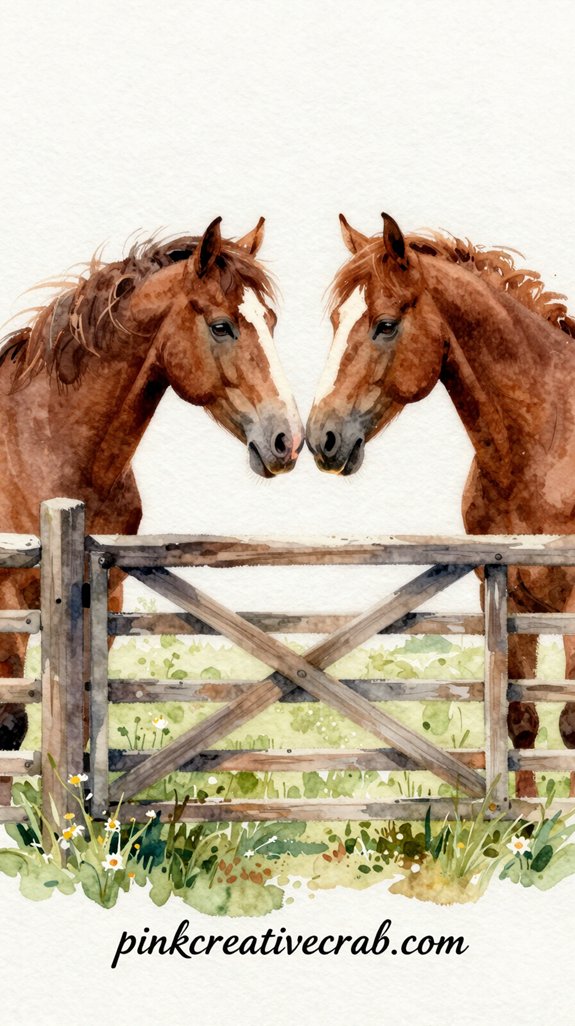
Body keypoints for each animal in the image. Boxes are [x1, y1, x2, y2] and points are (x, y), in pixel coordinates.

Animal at [0, 216, 303, 752]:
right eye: (221, 325)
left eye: (269, 320)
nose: (287, 440)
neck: (44, 442)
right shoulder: (8, 603)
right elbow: (10, 728)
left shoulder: (104, 596)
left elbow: (84, 716)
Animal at [306, 211, 575, 799]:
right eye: (336, 320)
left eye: (386, 324)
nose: (321, 438)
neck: (547, 445)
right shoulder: (503, 589)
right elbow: (519, 719)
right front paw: (523, 822)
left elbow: (570, 721)